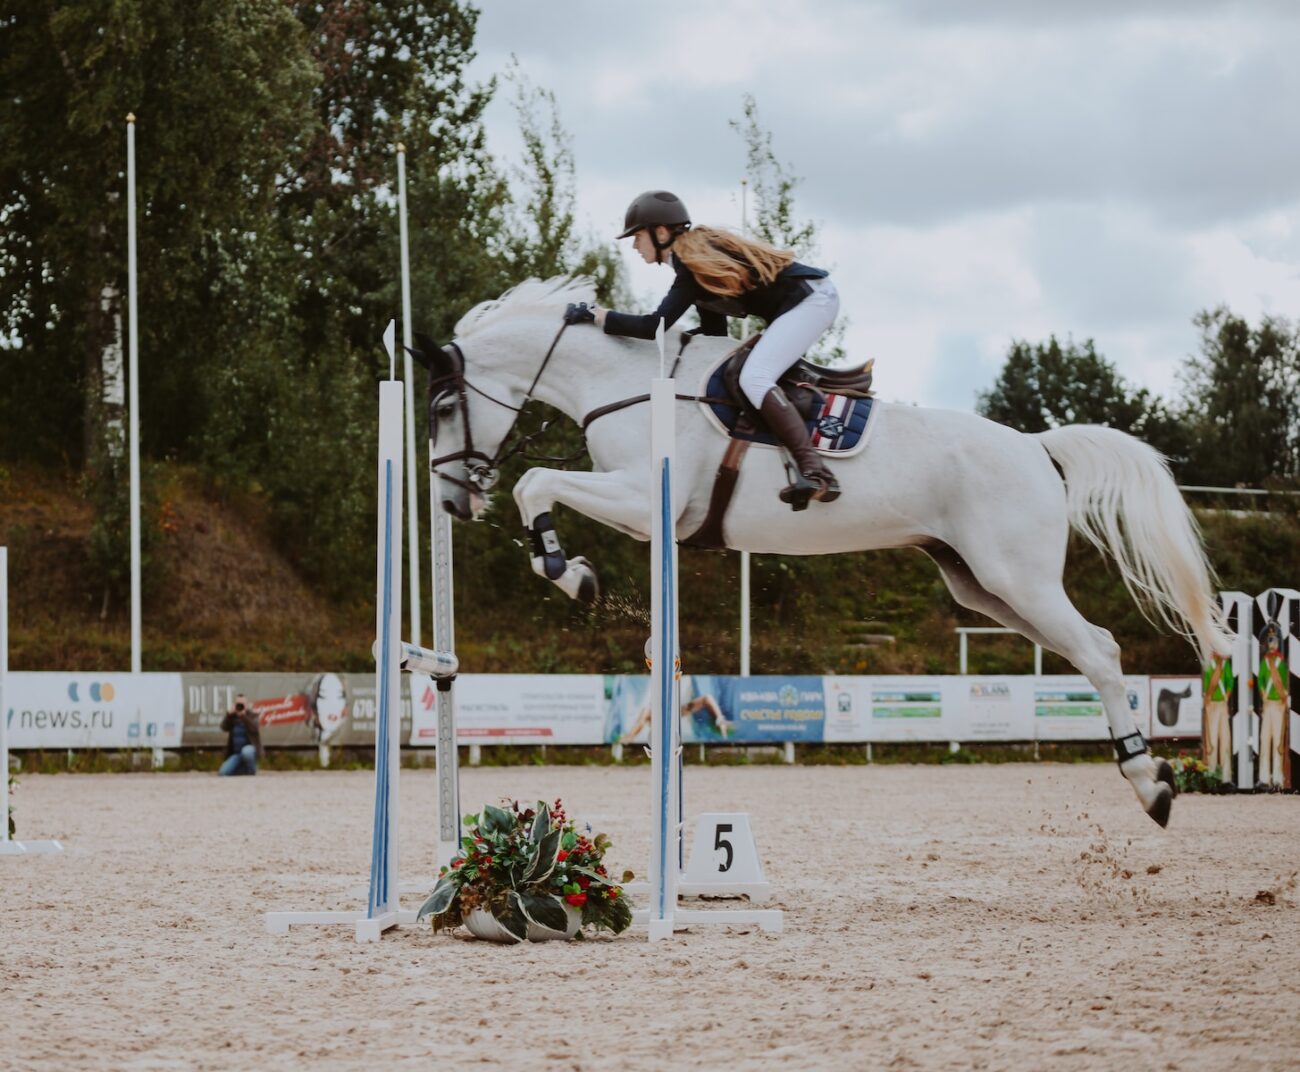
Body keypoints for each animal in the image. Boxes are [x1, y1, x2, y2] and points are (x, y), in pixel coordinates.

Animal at [411, 276, 1232, 827]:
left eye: (446, 406)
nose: (450, 501)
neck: (626, 383)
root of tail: (1037, 446)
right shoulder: (647, 515)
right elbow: (538, 488)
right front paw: (567, 568)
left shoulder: (646, 502)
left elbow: (536, 482)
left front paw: (568, 572)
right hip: (982, 587)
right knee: (1088, 648)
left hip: (1017, 578)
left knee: (1098, 651)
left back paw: (1151, 782)